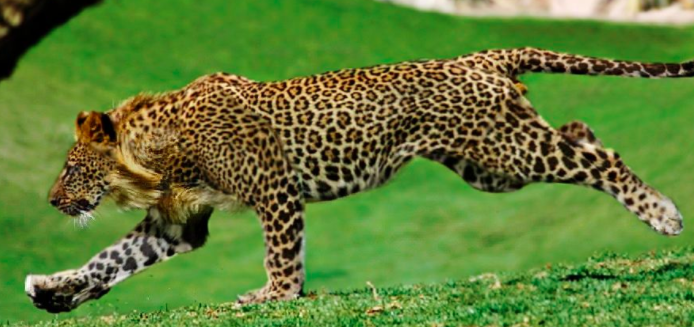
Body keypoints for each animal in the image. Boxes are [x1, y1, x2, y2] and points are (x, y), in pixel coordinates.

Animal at [23, 47, 692, 314]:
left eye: (72, 168)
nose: (52, 200)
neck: (155, 156)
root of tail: (479, 57)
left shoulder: (274, 190)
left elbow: (281, 255)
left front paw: (274, 297)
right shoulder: (177, 224)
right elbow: (109, 261)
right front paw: (53, 292)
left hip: (509, 150)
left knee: (598, 160)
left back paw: (661, 213)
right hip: (492, 167)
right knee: (584, 134)